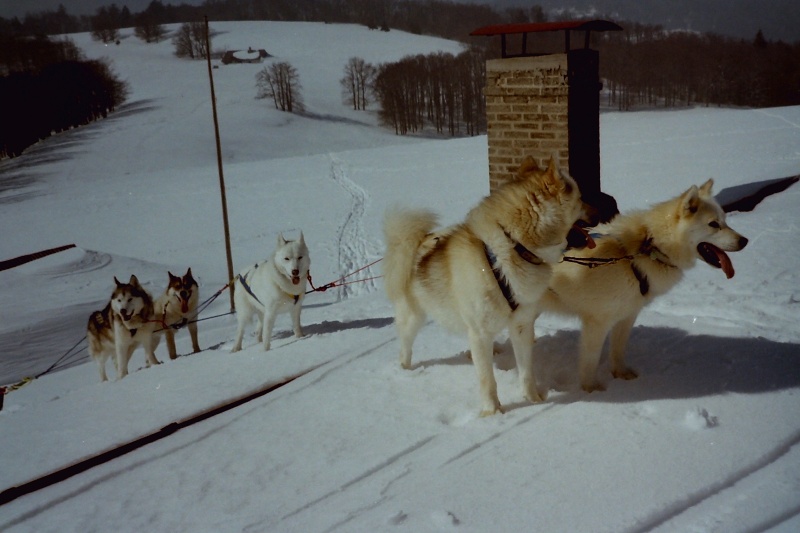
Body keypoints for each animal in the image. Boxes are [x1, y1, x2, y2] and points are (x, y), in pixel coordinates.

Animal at [384, 156, 592, 414]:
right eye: (581, 198)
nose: (599, 211)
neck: (512, 247)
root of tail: (417, 243)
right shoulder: (480, 332)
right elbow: (487, 379)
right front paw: (492, 412)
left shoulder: (521, 326)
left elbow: (526, 371)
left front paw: (533, 399)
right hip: (413, 318)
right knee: (405, 346)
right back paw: (404, 370)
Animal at [540, 179, 748, 390]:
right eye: (713, 224)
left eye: (725, 221)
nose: (744, 241)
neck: (646, 249)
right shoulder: (597, 322)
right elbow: (590, 361)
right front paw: (592, 390)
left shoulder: (627, 315)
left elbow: (618, 350)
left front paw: (621, 375)